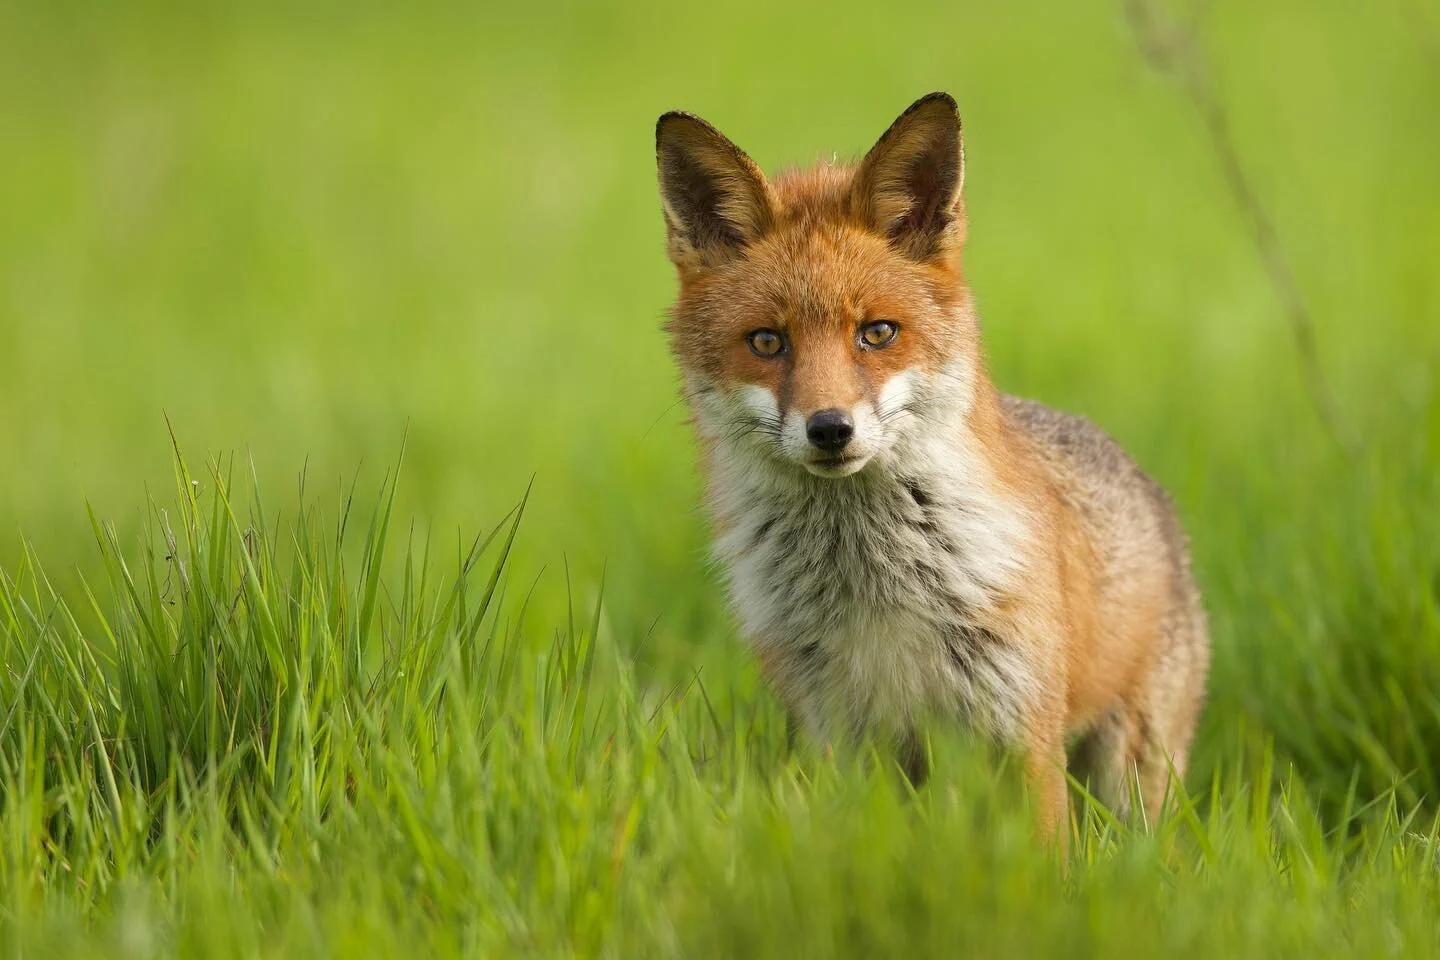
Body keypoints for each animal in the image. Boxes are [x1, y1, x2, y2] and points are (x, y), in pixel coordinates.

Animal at [653, 92, 1210, 840]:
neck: (874, 585)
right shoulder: (842, 735)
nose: (830, 428)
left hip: (1133, 776)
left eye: (877, 332)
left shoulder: (1022, 731)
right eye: (767, 342)